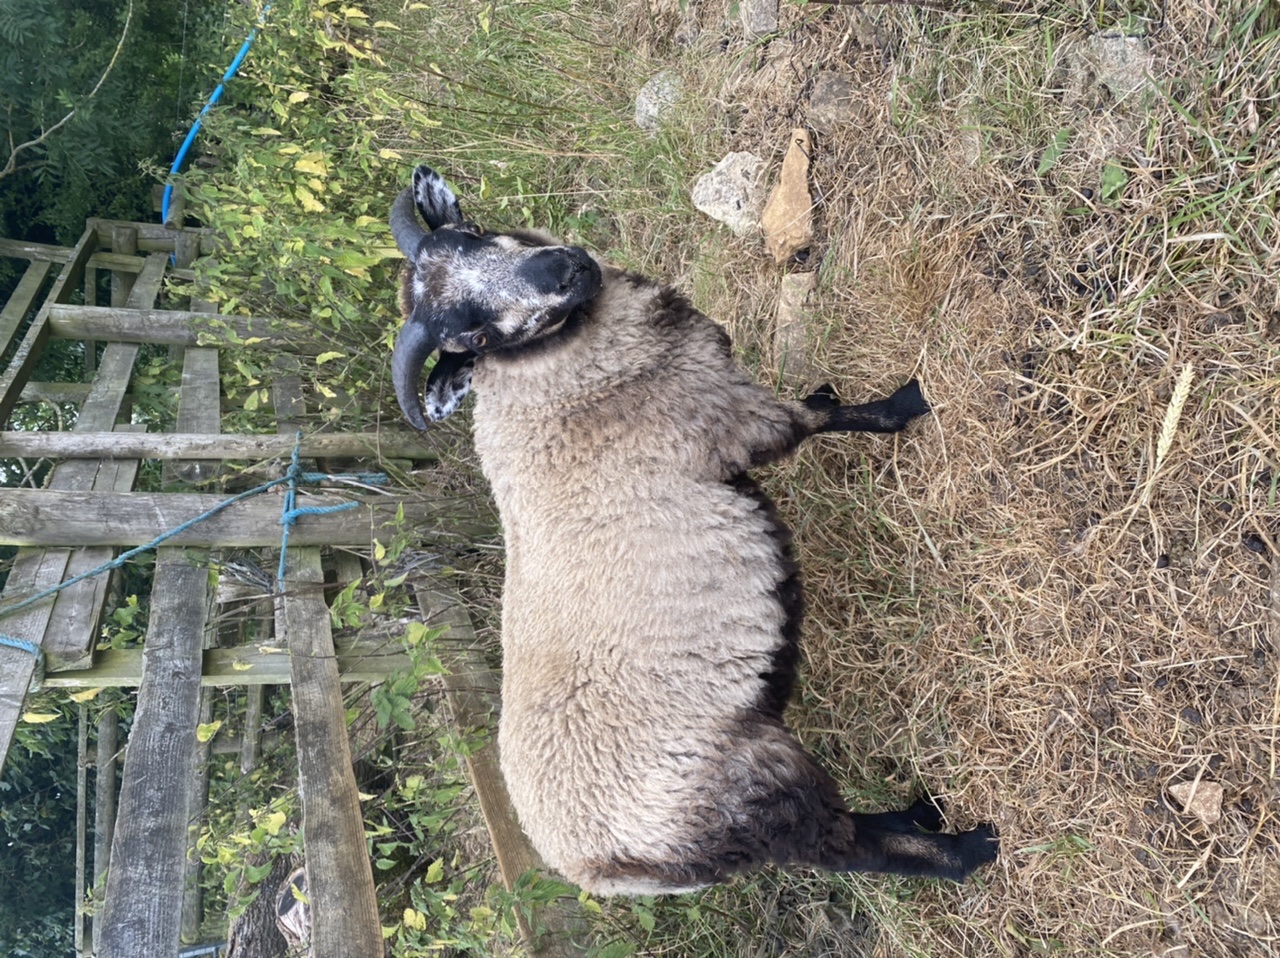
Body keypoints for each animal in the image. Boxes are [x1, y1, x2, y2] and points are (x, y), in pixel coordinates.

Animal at [389, 164, 998, 895]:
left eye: (473, 234)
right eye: (474, 338)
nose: (564, 268)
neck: (552, 384)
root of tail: (602, 870)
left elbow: (819, 410)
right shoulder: (730, 411)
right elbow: (824, 421)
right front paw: (908, 402)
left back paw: (922, 813)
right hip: (757, 786)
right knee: (853, 848)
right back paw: (965, 846)